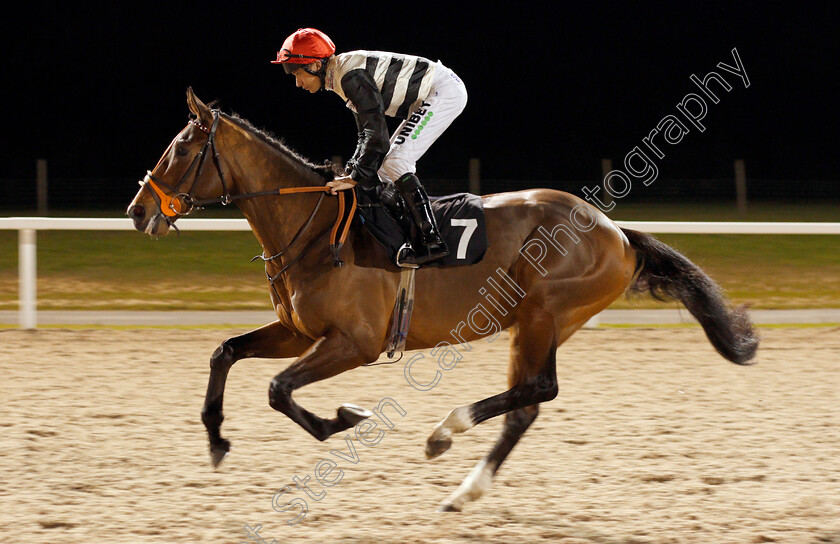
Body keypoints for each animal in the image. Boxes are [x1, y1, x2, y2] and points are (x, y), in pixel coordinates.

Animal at [126, 87, 760, 512]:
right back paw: (464, 486)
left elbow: (279, 390)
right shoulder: (297, 331)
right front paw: (216, 440)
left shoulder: (355, 342)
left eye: (179, 149)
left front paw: (344, 418)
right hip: (536, 321)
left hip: (543, 311)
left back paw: (446, 432)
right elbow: (226, 352)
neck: (312, 225)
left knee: (538, 390)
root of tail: (617, 232)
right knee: (528, 402)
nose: (137, 211)